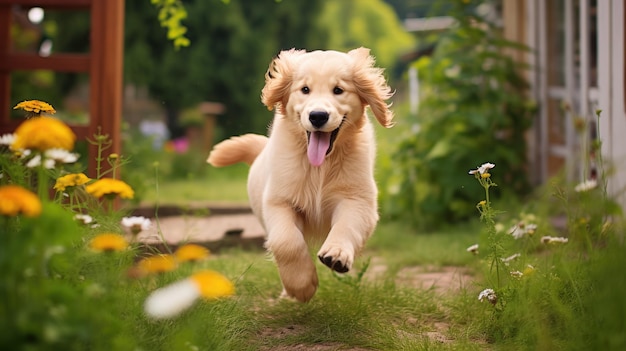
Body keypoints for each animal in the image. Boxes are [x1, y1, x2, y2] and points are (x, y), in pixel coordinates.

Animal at [207, 48, 392, 304]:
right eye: (305, 89)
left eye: (338, 90)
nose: (318, 116)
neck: (320, 166)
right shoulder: (278, 200)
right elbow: (286, 241)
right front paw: (301, 286)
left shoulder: (358, 199)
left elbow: (347, 225)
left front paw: (336, 254)